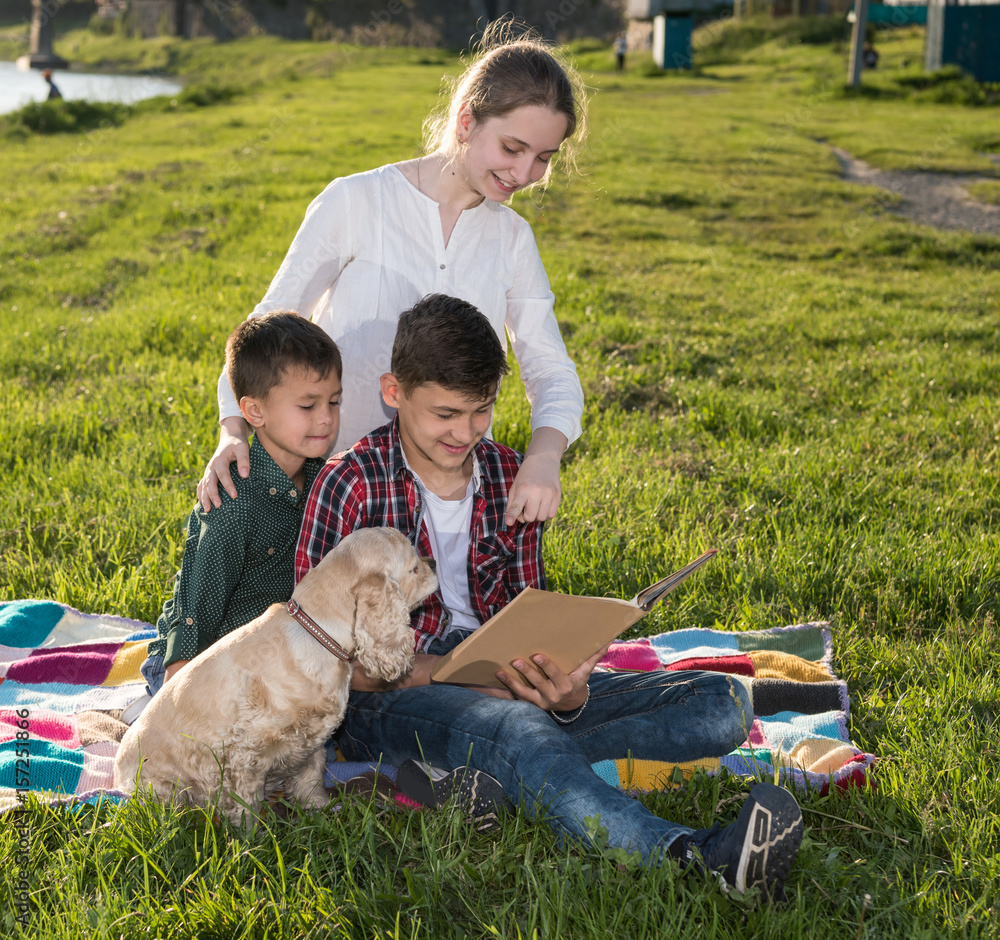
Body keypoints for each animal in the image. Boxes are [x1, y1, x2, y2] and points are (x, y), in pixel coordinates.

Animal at [115, 524, 436, 828]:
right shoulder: (247, 752)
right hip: (166, 789)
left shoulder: (311, 740)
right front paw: (252, 837)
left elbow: (310, 779)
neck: (318, 632)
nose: (432, 560)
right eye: (413, 568)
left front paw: (321, 810)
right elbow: (246, 803)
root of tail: (118, 774)